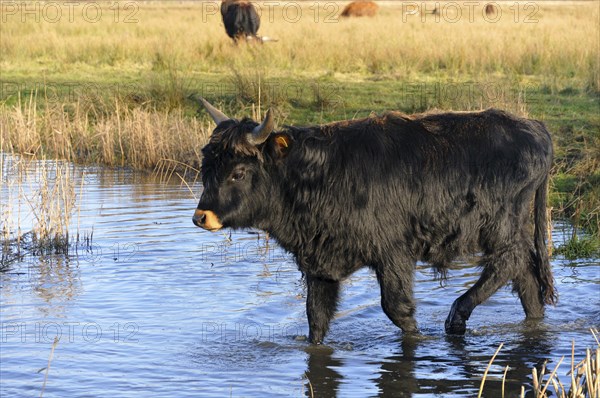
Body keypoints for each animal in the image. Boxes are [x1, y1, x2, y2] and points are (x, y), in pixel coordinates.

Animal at [195, 98, 556, 344]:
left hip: (500, 224)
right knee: (524, 274)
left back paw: (457, 316)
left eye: (238, 172)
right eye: (207, 167)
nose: (201, 217)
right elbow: (316, 318)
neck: (319, 177)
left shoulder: (394, 254)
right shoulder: (320, 267)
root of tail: (534, 127)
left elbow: (397, 308)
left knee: (507, 262)